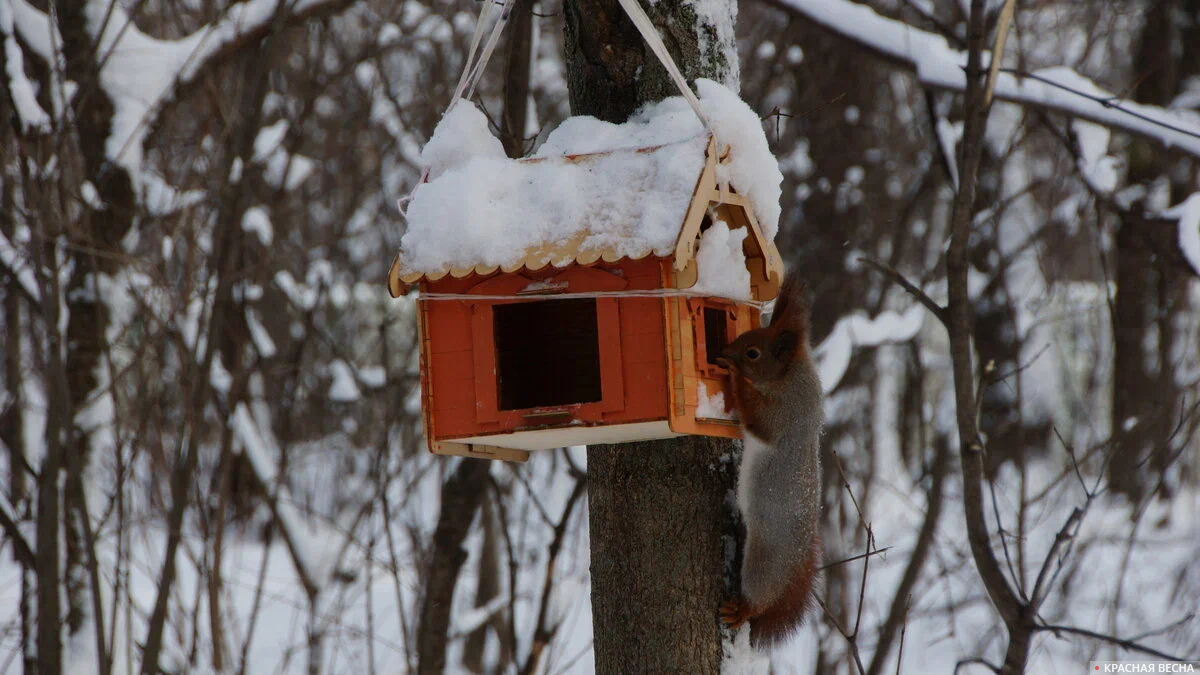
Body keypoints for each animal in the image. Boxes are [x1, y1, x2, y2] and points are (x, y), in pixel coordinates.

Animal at [715, 271, 820, 648]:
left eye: (753, 352)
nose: (722, 352)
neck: (791, 375)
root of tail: (797, 563)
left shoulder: (786, 413)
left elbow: (758, 420)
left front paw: (734, 373)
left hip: (764, 563)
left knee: (760, 597)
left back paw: (741, 610)